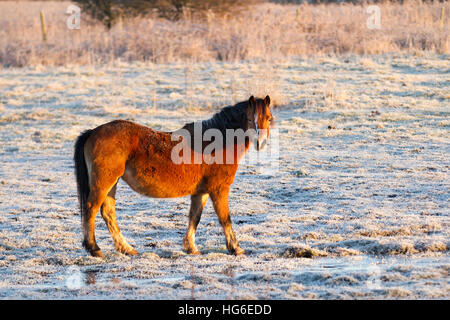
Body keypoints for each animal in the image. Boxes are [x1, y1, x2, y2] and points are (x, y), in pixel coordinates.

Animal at [74, 95, 272, 258]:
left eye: (269, 118)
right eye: (249, 119)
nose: (260, 143)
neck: (216, 143)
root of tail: (93, 131)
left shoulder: (201, 192)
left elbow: (195, 217)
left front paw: (191, 247)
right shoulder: (219, 189)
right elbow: (225, 218)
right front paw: (235, 248)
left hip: (112, 183)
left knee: (108, 213)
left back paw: (127, 248)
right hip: (103, 182)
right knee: (91, 209)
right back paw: (95, 249)